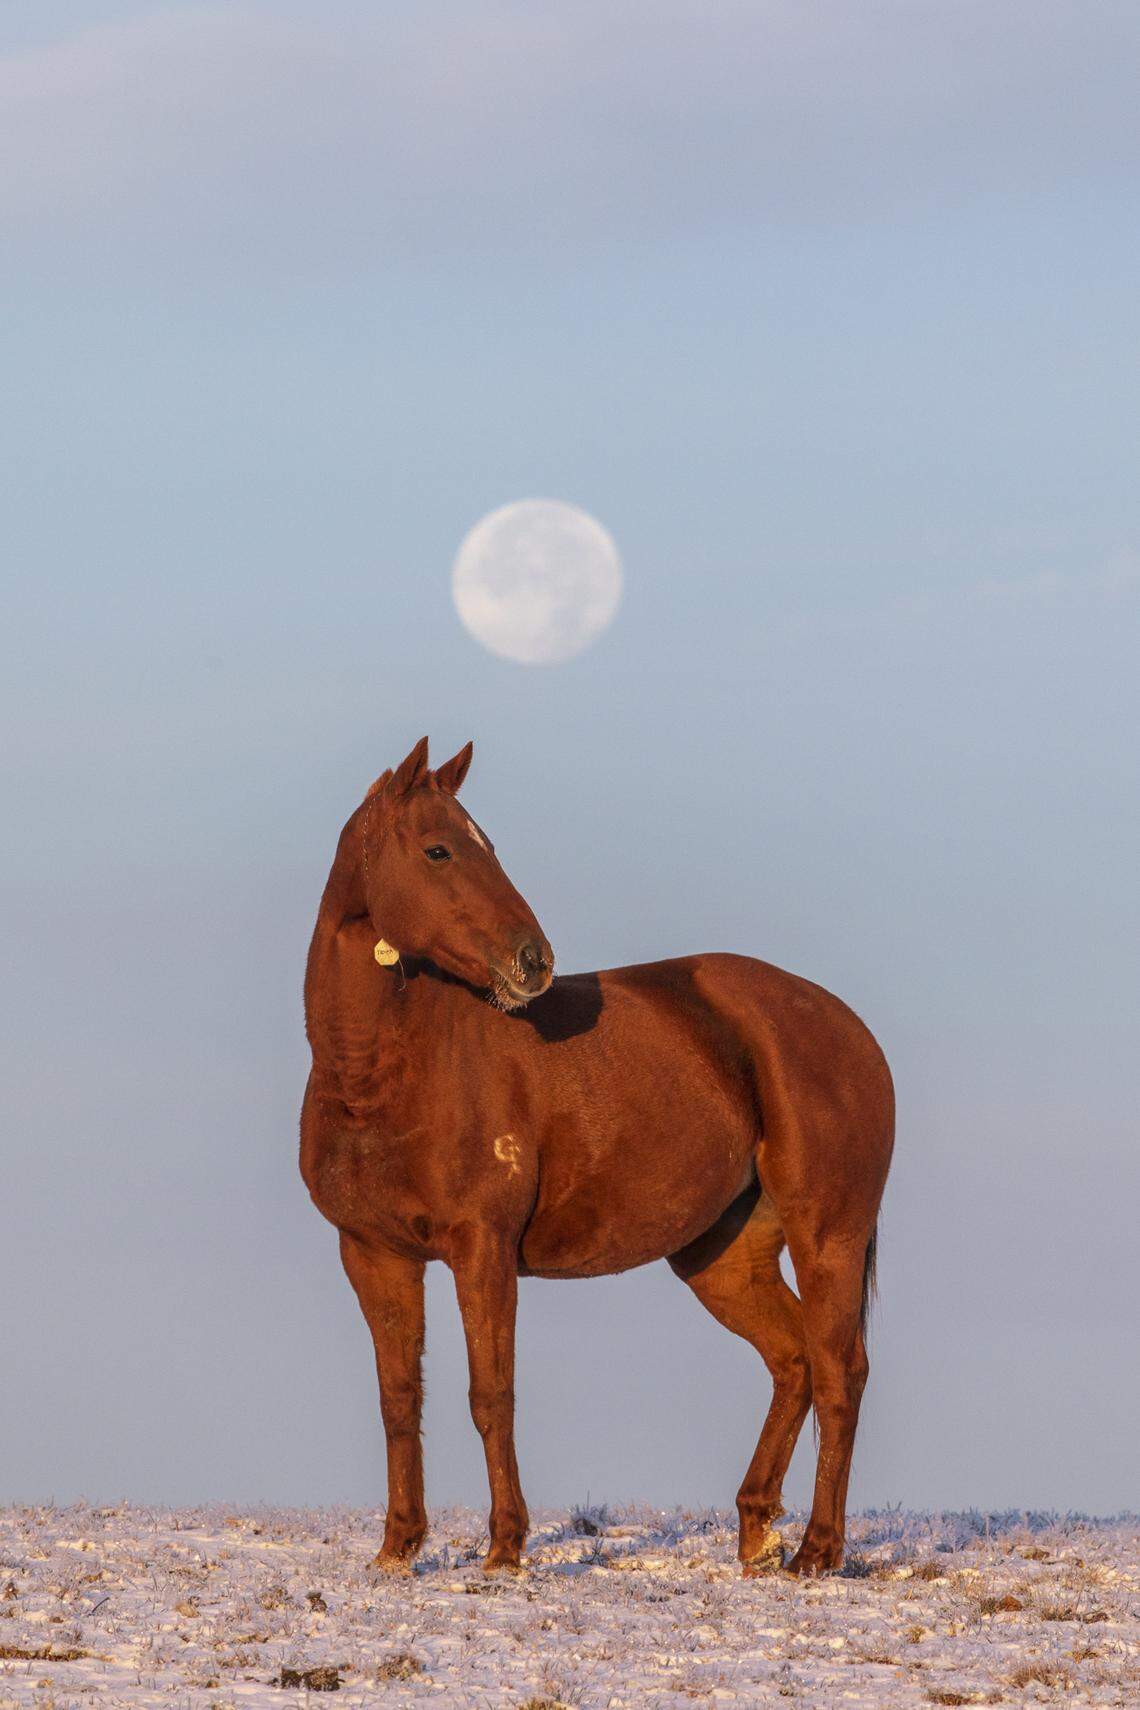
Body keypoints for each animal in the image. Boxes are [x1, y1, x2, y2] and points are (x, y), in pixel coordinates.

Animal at [301, 736, 894, 1577]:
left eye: (487, 845)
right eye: (439, 849)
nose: (533, 960)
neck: (383, 1070)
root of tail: (845, 1026)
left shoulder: (482, 1250)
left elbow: (491, 1395)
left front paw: (504, 1549)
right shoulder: (373, 1254)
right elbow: (398, 1398)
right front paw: (398, 1548)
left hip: (828, 1239)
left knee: (842, 1374)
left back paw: (817, 1548)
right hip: (722, 1260)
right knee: (795, 1362)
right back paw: (756, 1531)